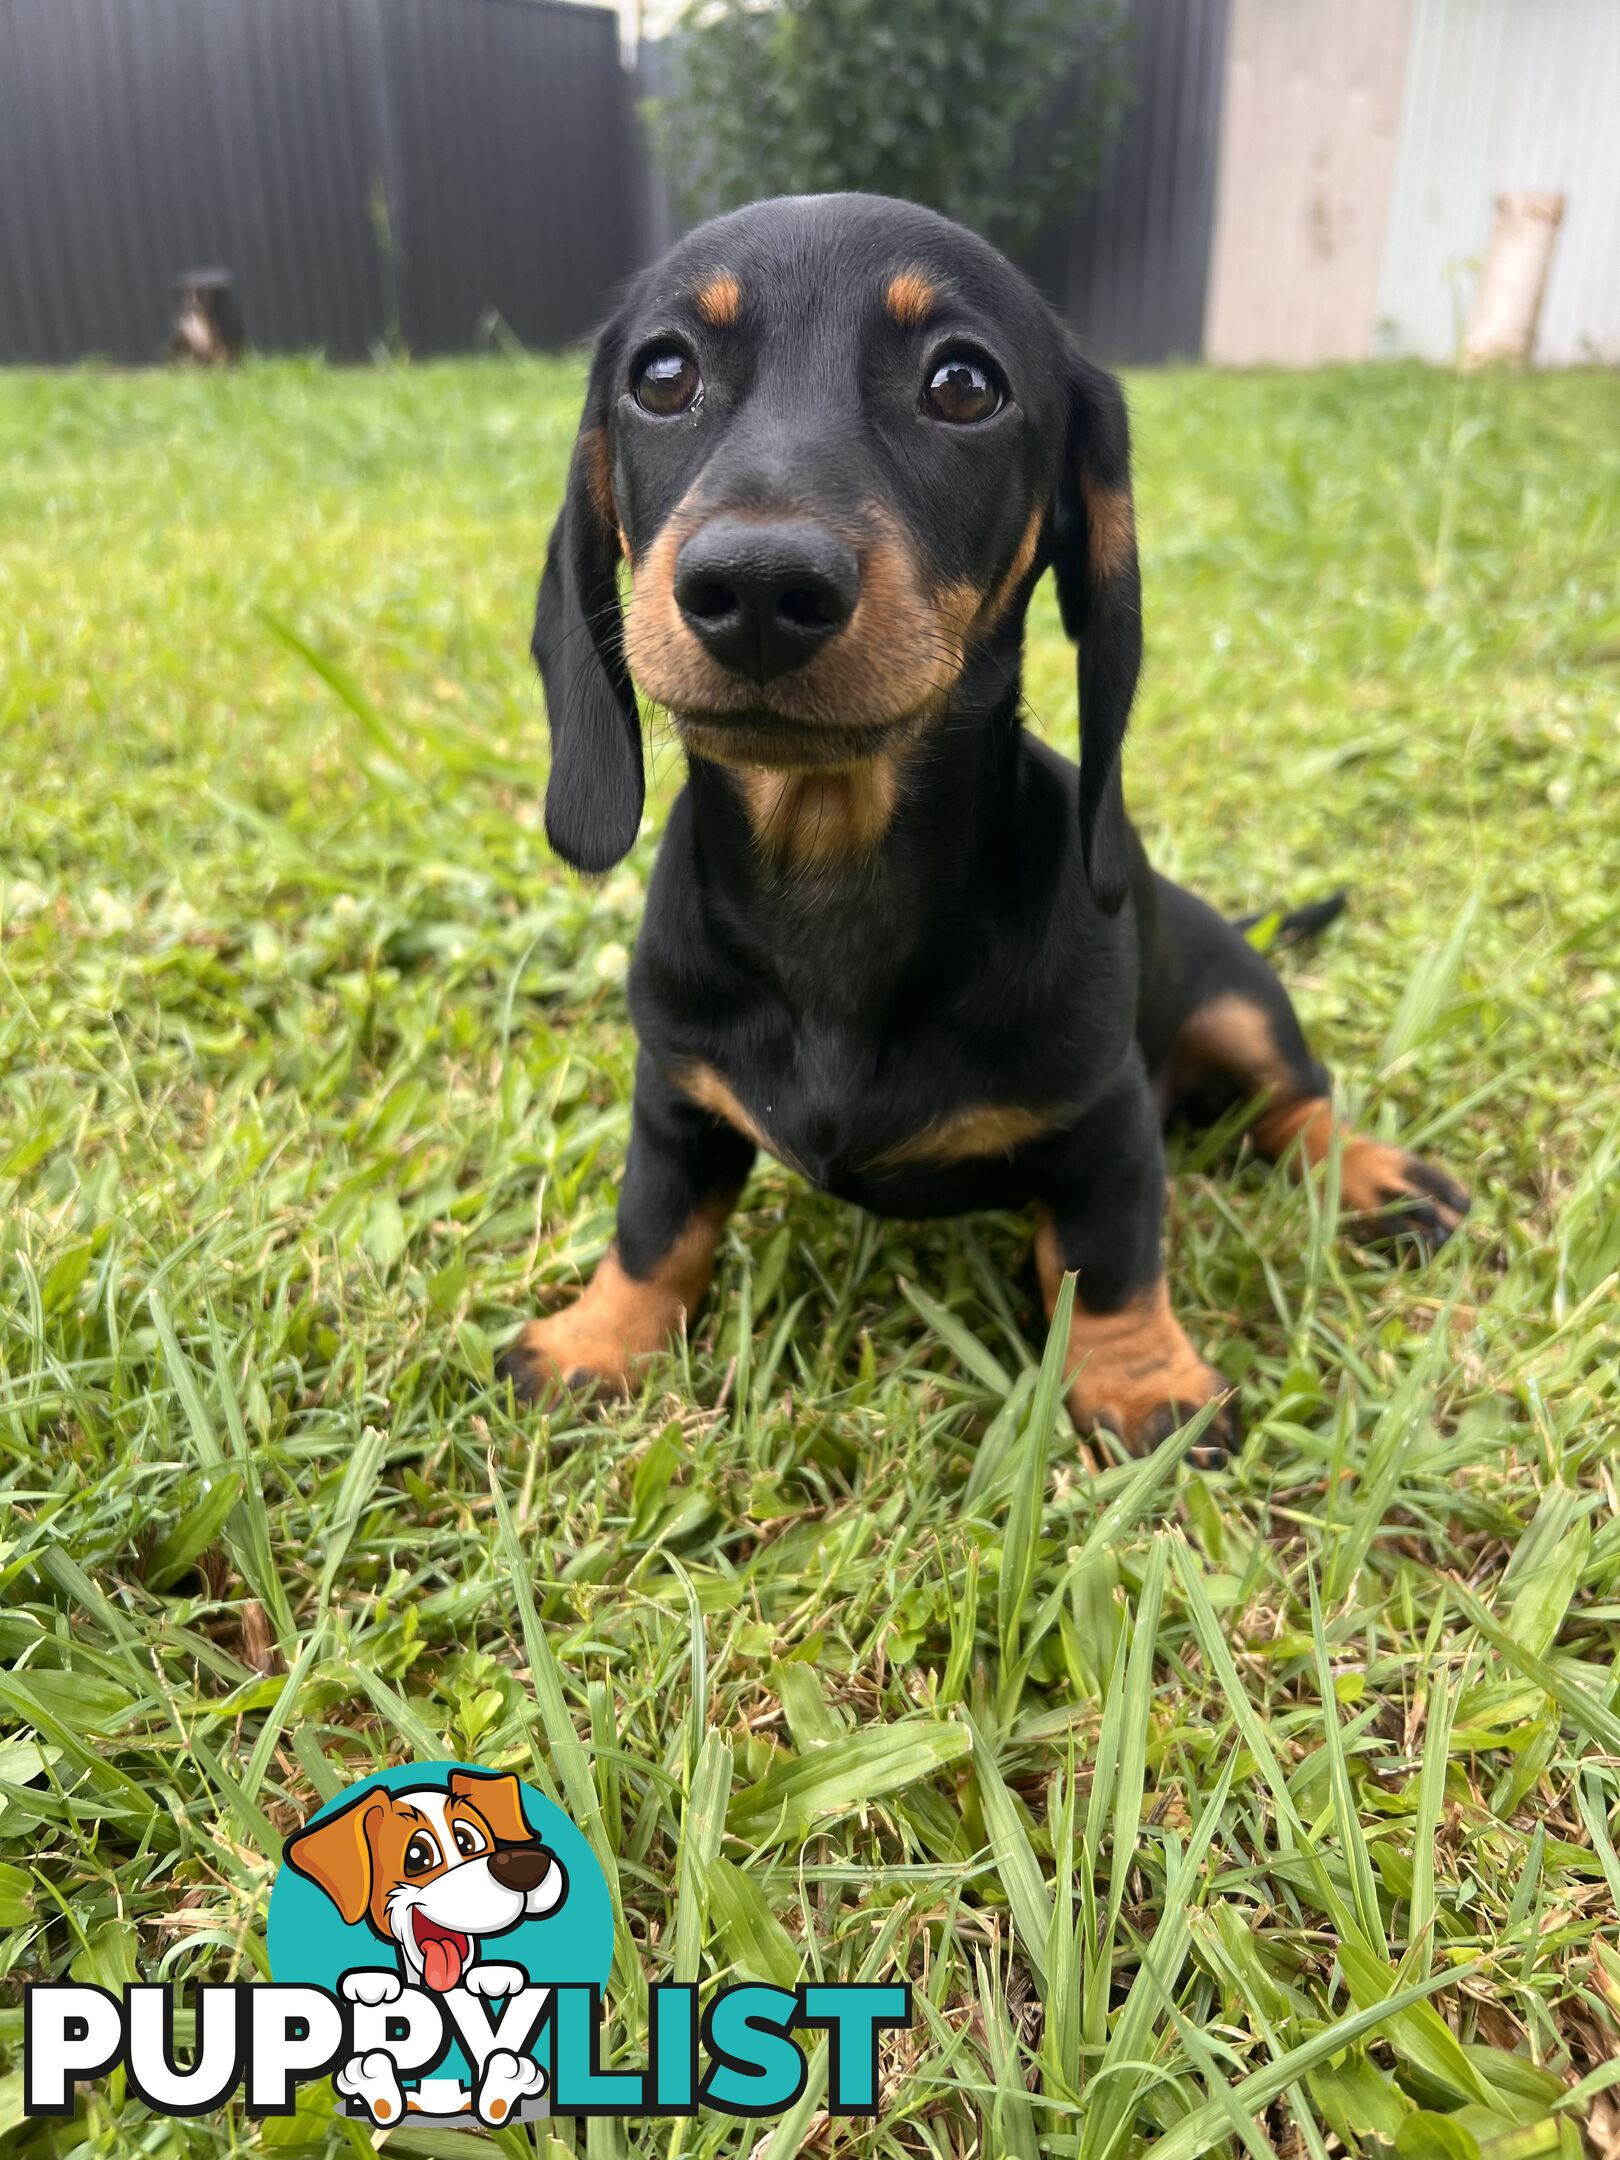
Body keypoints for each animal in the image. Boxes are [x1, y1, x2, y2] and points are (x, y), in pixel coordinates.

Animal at [505, 198, 1468, 1451]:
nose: (757, 589)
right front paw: (598, 1339)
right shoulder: (674, 1097)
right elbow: (654, 1225)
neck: (836, 882)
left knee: (1297, 1104)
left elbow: (1112, 1259)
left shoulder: (1109, 1122)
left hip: (1241, 1001)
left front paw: (1141, 1382)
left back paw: (1373, 1175)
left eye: (963, 386)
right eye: (663, 375)